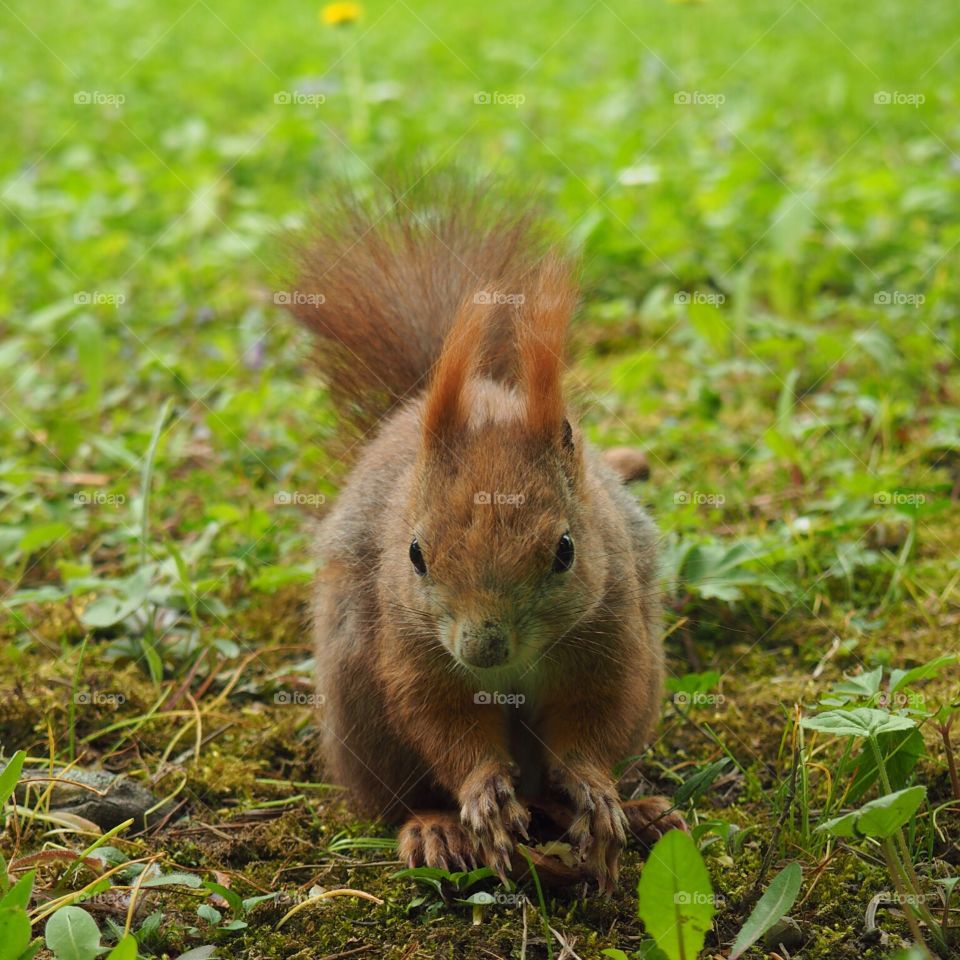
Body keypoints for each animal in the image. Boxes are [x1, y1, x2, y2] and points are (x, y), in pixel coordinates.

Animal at [285, 174, 685, 889]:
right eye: (414, 554)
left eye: (565, 551)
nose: (482, 649)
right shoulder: (415, 651)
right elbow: (443, 723)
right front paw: (480, 793)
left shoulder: (609, 638)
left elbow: (594, 720)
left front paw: (595, 788)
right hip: (361, 714)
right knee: (400, 796)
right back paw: (434, 830)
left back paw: (637, 813)